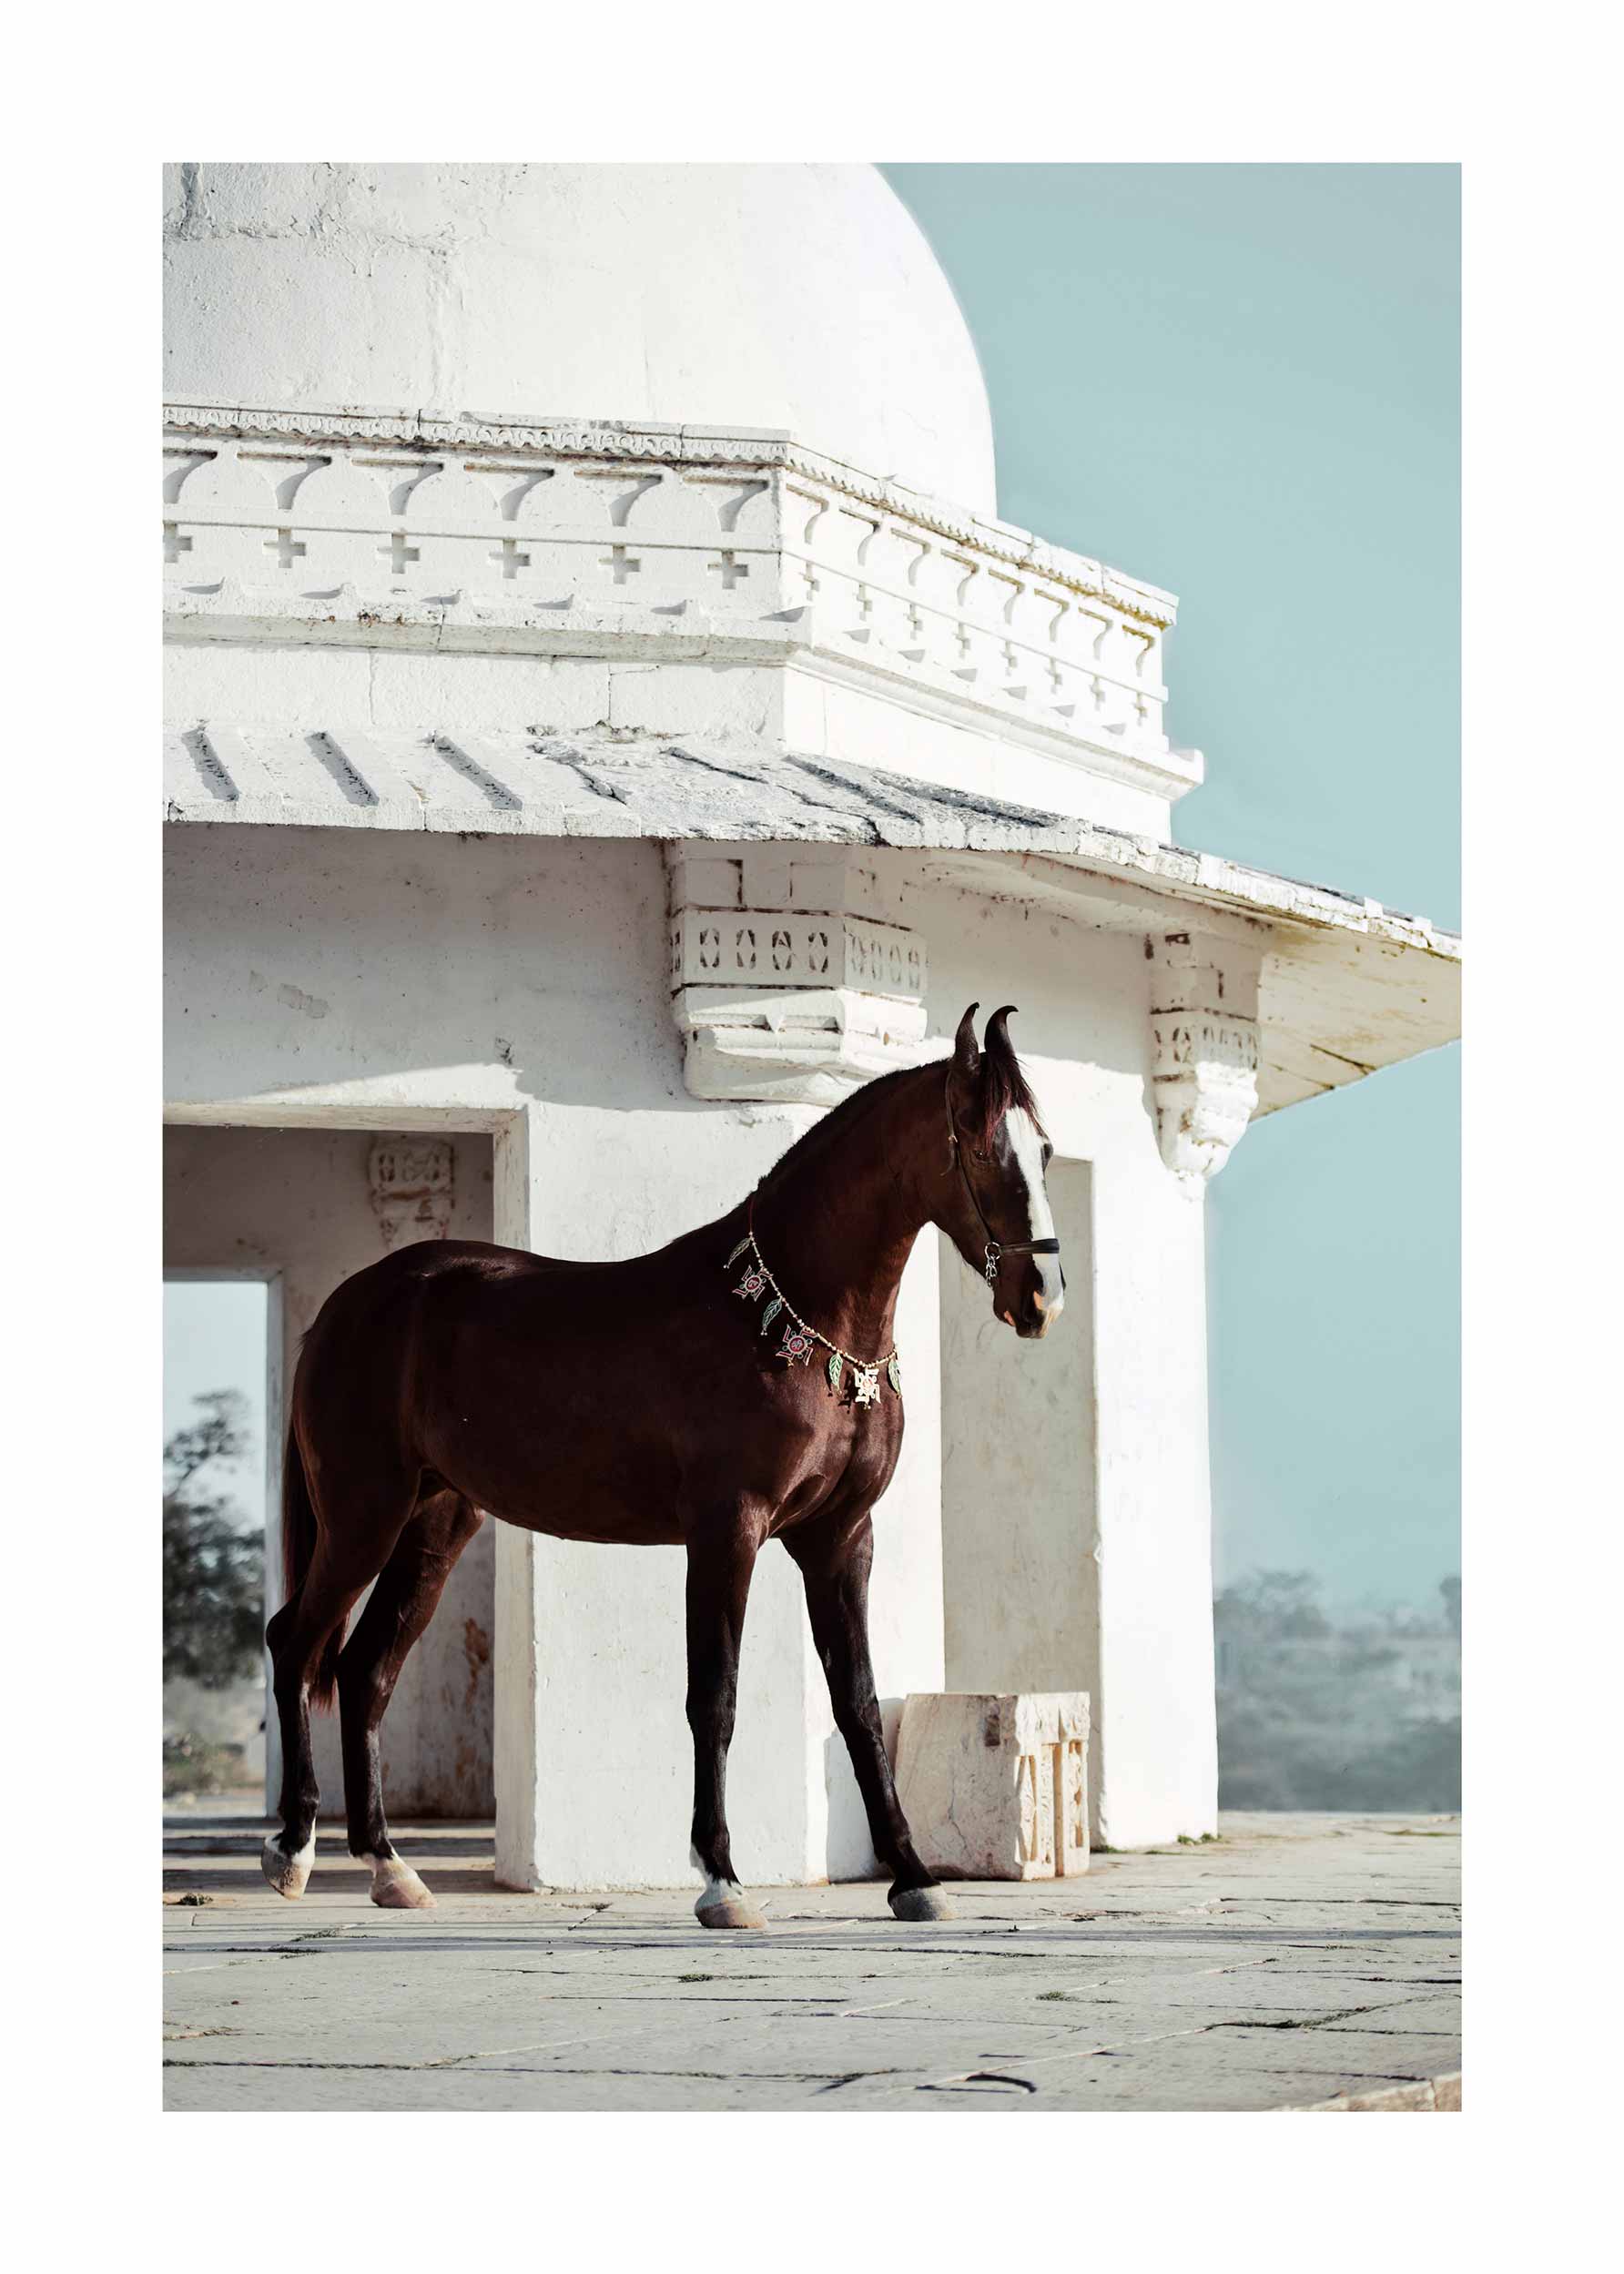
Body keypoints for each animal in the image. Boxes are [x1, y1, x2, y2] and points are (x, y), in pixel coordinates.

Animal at [262, 1001, 1065, 1927]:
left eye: (1044, 1149)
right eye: (978, 1145)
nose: (1041, 1297)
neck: (798, 1317)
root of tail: (348, 1305)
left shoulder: (838, 1539)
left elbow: (858, 1704)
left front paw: (913, 1876)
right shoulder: (728, 1532)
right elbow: (714, 1697)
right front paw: (722, 1880)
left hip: (433, 1525)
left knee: (365, 1669)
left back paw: (389, 1867)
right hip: (363, 1517)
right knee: (295, 1643)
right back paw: (292, 1851)